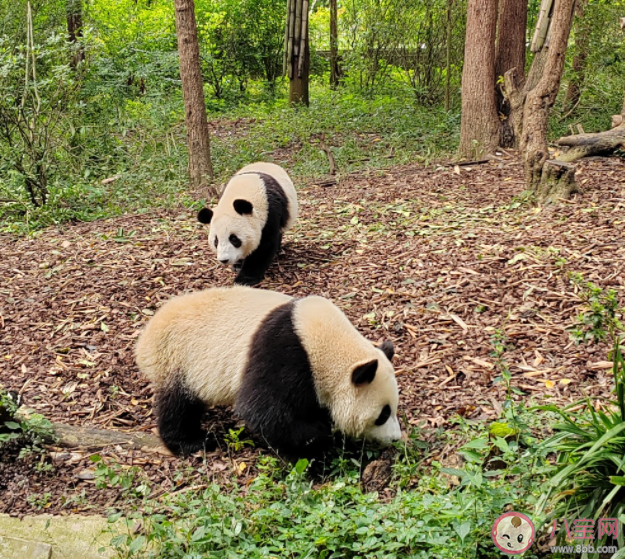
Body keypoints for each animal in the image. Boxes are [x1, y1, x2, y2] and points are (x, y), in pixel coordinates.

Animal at [134, 286, 402, 458]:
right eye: (382, 414)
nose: (396, 438)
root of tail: (146, 337)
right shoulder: (283, 354)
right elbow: (264, 411)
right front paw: (319, 443)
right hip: (177, 359)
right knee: (178, 406)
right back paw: (192, 442)